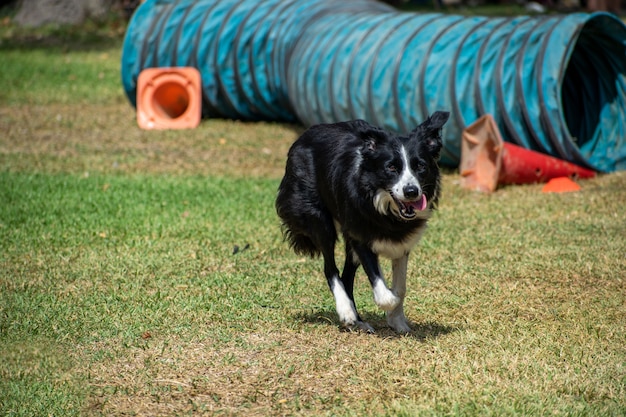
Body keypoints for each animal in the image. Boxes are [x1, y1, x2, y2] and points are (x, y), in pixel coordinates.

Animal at [276, 112, 446, 334]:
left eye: (421, 166)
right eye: (391, 167)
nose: (411, 191)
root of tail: (305, 135)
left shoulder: (402, 244)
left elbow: (400, 288)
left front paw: (398, 322)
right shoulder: (360, 237)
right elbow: (386, 294)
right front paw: (388, 308)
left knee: (347, 276)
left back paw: (357, 321)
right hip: (318, 219)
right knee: (331, 269)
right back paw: (347, 312)